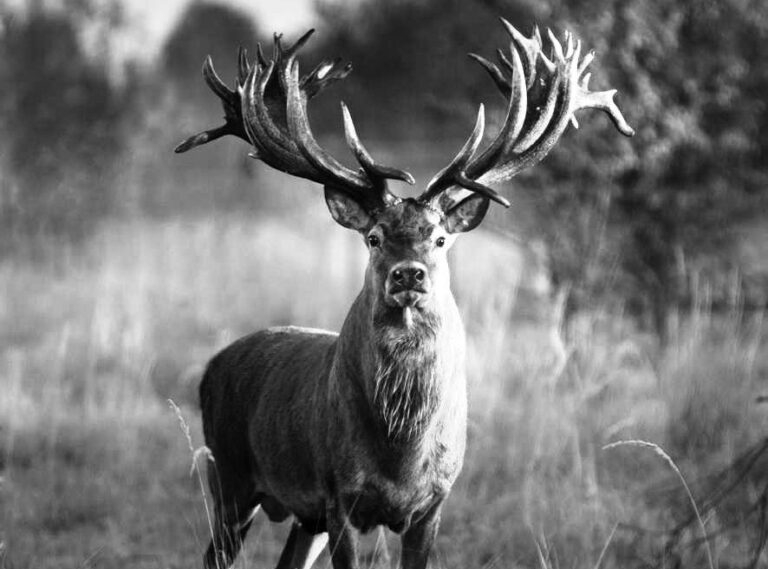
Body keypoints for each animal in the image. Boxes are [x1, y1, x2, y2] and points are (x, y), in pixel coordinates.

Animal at [175, 19, 633, 569]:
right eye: (373, 237)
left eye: (439, 238)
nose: (408, 276)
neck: (401, 452)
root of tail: (212, 366)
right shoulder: (341, 495)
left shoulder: (433, 502)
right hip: (229, 475)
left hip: (298, 513)